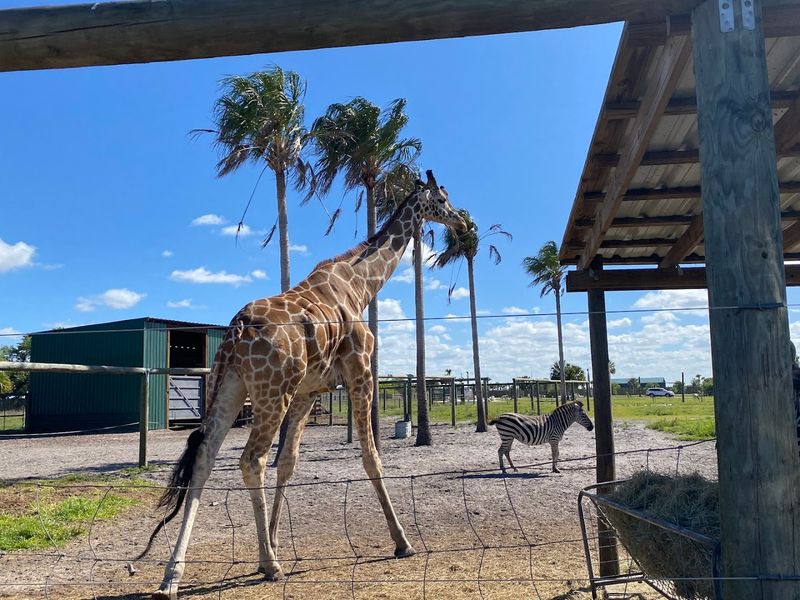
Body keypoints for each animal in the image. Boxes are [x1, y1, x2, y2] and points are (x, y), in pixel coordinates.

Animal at [140, 170, 467, 599]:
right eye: (443, 200)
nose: (463, 224)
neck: (361, 284)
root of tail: (235, 331)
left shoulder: (309, 391)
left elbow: (289, 463)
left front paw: (275, 539)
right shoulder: (361, 371)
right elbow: (370, 457)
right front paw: (402, 541)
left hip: (231, 388)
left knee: (205, 458)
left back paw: (171, 576)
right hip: (270, 392)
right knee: (251, 460)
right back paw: (270, 566)